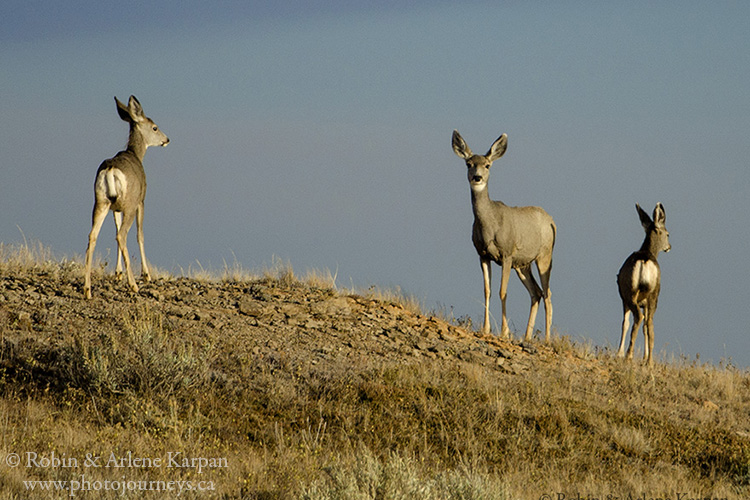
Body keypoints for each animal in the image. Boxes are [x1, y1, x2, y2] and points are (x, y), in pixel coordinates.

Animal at [84, 94, 170, 296]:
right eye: (155, 127)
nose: (167, 139)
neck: (135, 154)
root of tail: (110, 169)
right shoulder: (141, 201)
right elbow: (140, 234)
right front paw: (146, 275)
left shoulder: (117, 208)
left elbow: (115, 228)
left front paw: (118, 273)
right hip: (129, 203)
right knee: (122, 235)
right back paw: (134, 285)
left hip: (101, 201)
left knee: (93, 235)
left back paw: (87, 290)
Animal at [452, 129, 560, 342]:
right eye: (469, 164)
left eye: (487, 165)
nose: (477, 177)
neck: (490, 226)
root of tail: (552, 221)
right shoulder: (483, 255)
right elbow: (487, 290)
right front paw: (486, 329)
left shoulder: (507, 253)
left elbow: (503, 291)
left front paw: (504, 331)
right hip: (523, 264)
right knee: (536, 292)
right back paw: (527, 336)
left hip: (545, 255)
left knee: (548, 293)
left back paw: (547, 338)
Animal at [616, 202, 676, 364]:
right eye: (668, 234)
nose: (669, 247)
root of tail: (645, 260)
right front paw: (643, 356)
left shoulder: (624, 299)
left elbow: (624, 323)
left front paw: (619, 353)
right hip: (652, 295)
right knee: (648, 323)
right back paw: (649, 361)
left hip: (631, 292)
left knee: (639, 318)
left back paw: (629, 355)